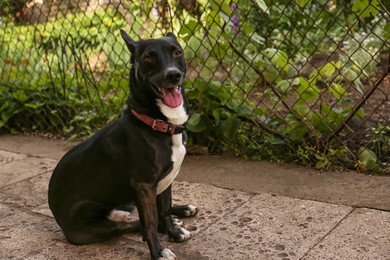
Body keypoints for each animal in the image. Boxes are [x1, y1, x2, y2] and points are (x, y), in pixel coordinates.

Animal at [48, 29, 198, 258]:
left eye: (177, 52)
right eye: (148, 58)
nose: (173, 75)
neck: (157, 123)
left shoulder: (164, 181)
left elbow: (164, 208)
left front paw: (173, 232)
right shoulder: (145, 186)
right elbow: (150, 223)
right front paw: (159, 251)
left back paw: (182, 211)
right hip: (95, 229)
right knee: (132, 224)